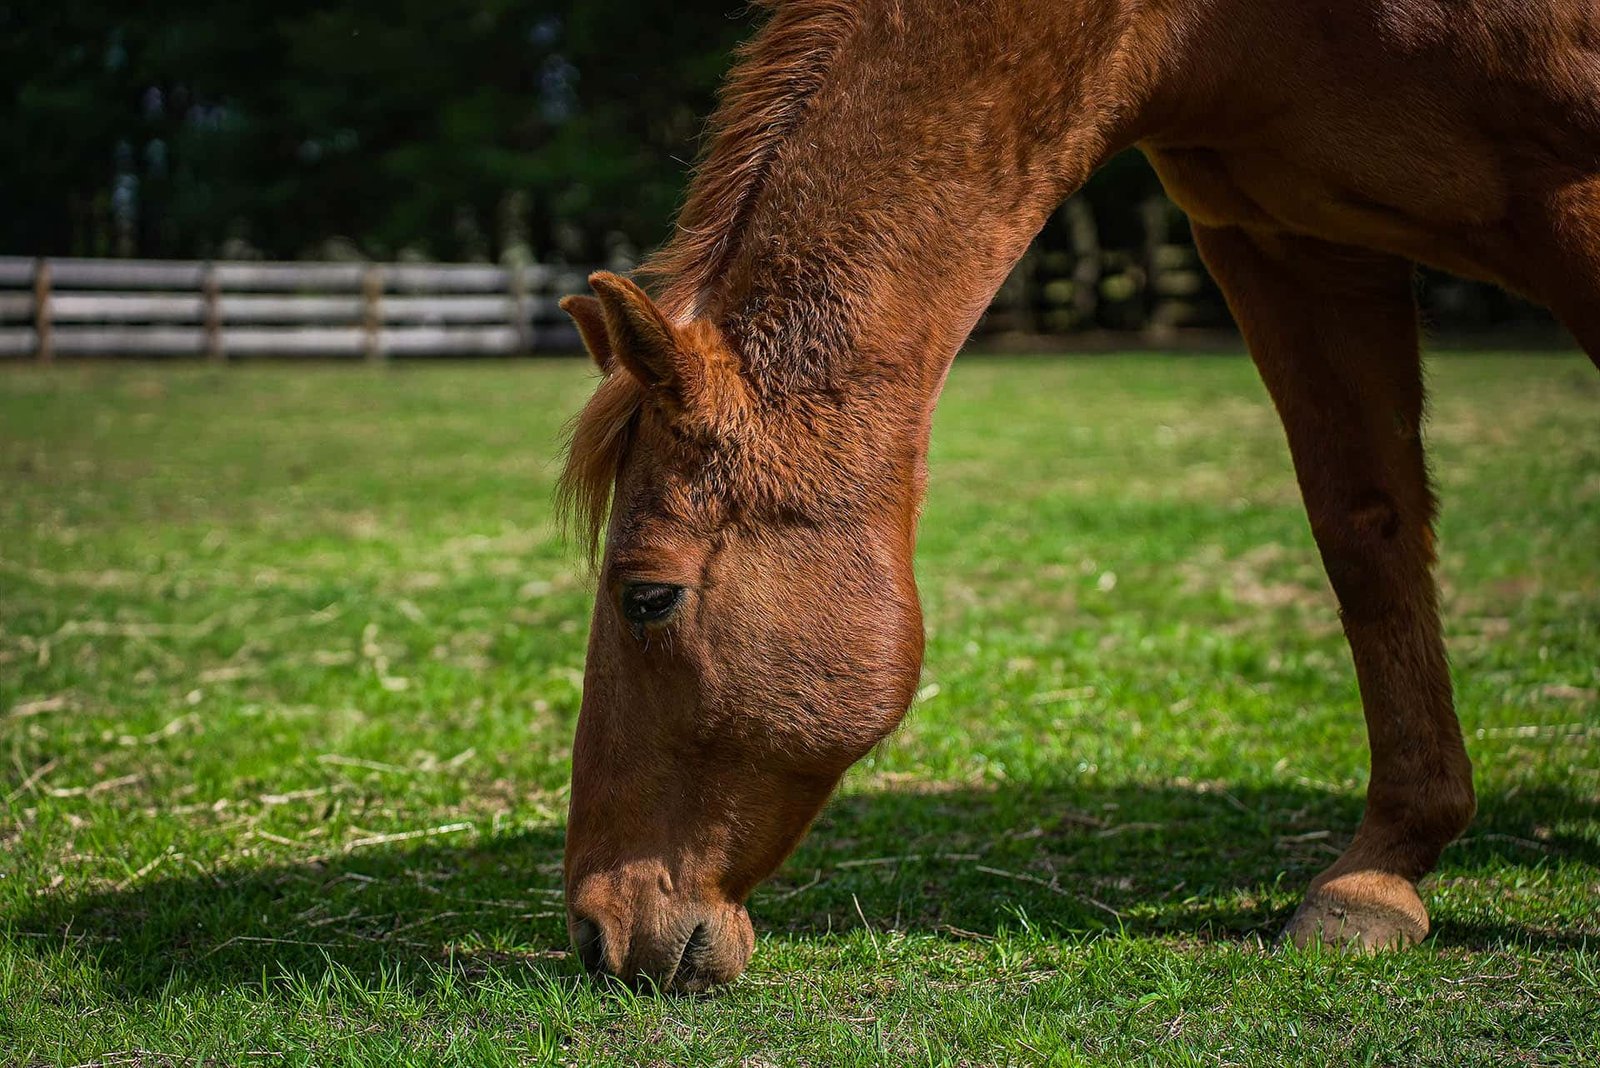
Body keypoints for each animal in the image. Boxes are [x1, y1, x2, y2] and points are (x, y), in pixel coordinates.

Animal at [555, 0, 1600, 991]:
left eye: (648, 597)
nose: (596, 932)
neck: (1202, 30)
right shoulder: (1285, 242)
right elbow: (1365, 535)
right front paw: (1379, 874)